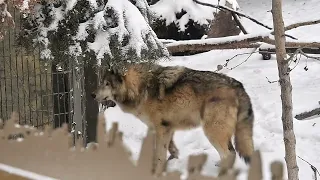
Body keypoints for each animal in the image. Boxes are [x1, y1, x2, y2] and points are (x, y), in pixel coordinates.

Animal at [91, 62, 254, 176]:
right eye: (101, 83)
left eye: (107, 84)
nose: (92, 94)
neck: (140, 89)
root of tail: (238, 86)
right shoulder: (166, 127)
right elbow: (170, 148)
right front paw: (172, 160)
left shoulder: (161, 128)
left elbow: (159, 155)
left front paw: (157, 172)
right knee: (231, 153)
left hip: (211, 132)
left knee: (229, 154)